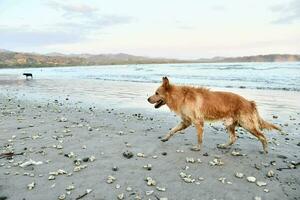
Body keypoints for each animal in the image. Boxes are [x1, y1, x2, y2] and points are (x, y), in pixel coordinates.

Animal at [148, 76, 282, 153]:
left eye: (156, 93)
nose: (147, 99)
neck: (181, 96)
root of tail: (249, 102)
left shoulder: (198, 122)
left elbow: (199, 138)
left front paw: (198, 148)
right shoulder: (186, 122)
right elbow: (172, 130)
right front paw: (165, 138)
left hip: (247, 124)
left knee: (262, 136)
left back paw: (265, 149)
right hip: (230, 124)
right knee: (233, 138)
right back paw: (224, 146)